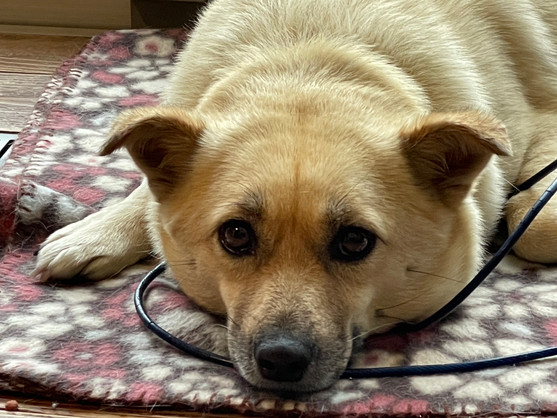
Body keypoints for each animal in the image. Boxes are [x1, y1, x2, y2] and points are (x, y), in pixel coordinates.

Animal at [34, 0, 557, 392]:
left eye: (354, 241)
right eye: (236, 235)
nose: (281, 361)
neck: (311, 61)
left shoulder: (545, 119)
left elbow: (538, 225)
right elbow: (147, 190)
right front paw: (96, 232)